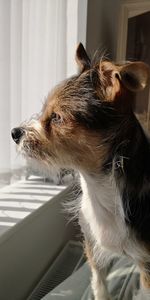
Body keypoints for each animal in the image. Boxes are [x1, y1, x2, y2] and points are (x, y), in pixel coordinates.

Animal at [11, 43, 150, 298]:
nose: (14, 133)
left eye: (57, 117)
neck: (98, 187)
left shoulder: (146, 265)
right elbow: (99, 285)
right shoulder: (92, 246)